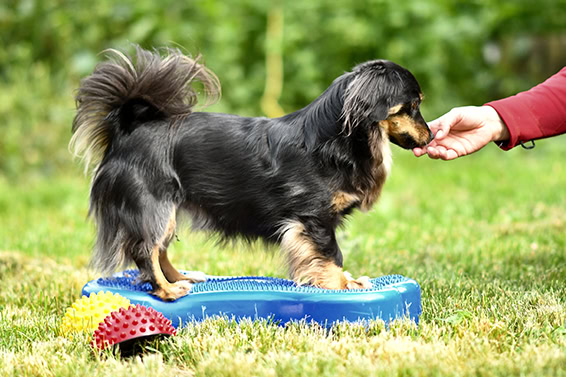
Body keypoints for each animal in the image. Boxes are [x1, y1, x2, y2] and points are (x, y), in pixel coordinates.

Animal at [72, 46, 434, 300]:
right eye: (414, 105)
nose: (431, 136)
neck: (336, 140)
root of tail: (127, 129)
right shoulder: (314, 219)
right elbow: (331, 256)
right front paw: (338, 286)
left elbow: (328, 258)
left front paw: (348, 282)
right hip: (154, 204)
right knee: (144, 249)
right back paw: (167, 291)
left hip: (166, 209)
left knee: (158, 248)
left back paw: (181, 279)